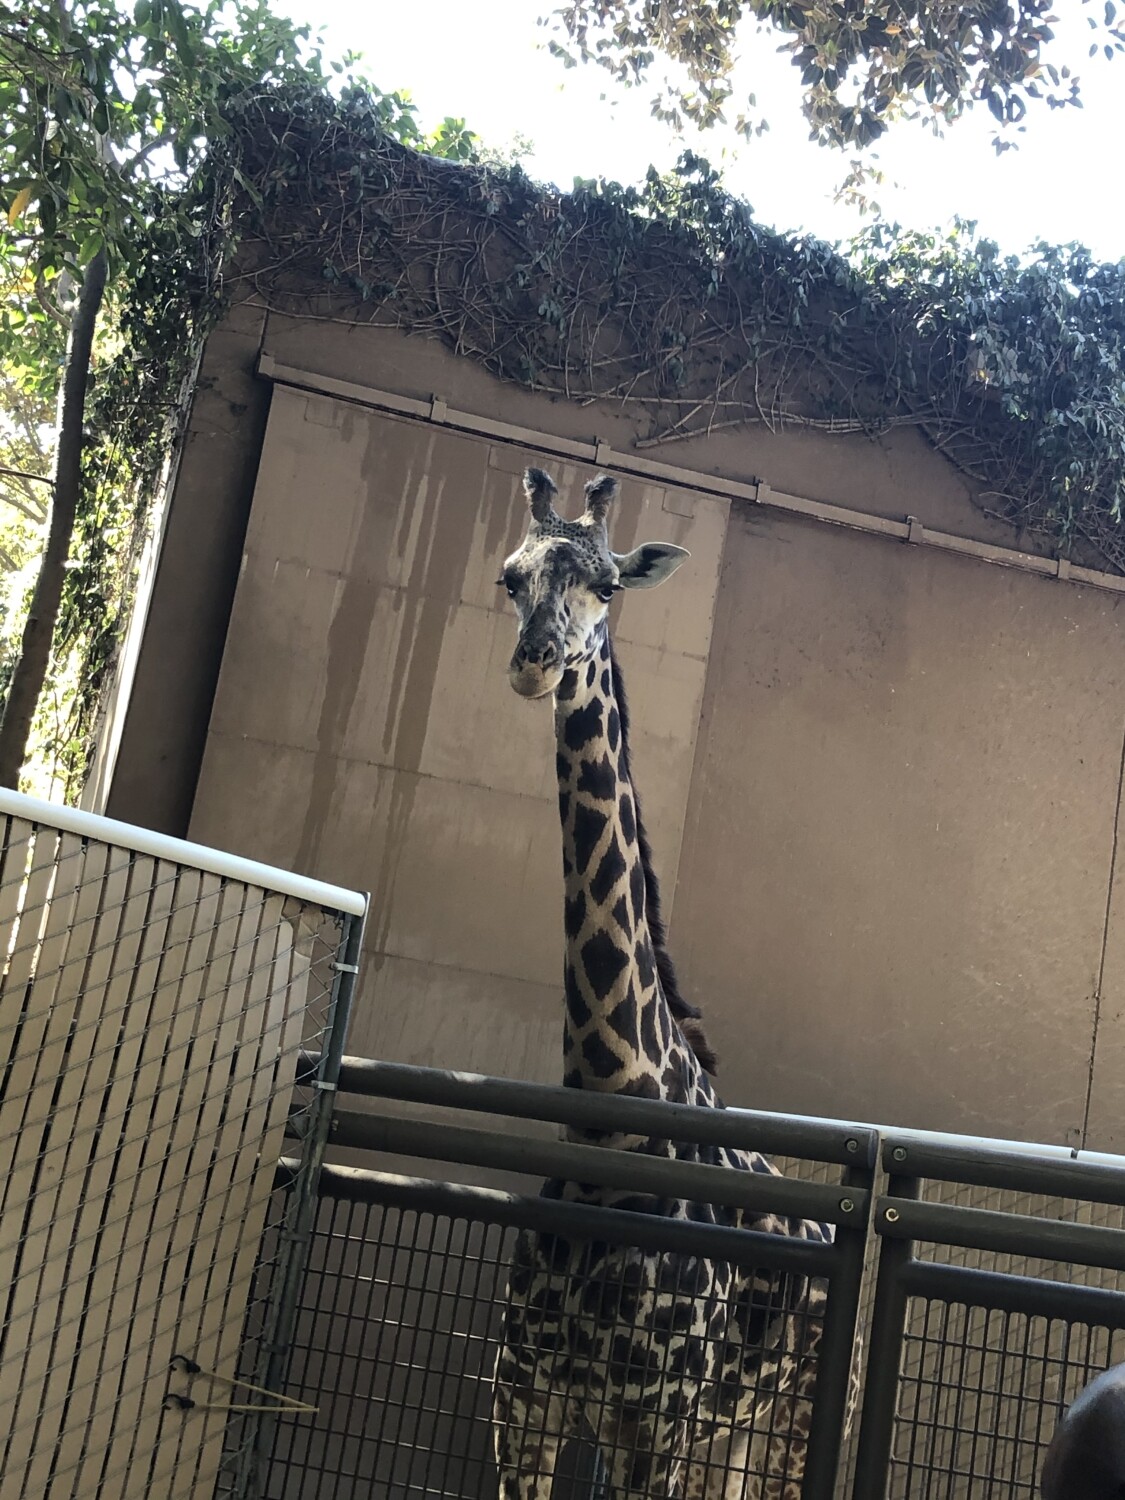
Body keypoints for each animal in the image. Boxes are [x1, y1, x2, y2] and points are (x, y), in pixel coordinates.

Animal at [490, 466, 838, 1499]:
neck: (612, 1110)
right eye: (510, 577)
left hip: (797, 1414)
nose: (536, 662)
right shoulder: (525, 1401)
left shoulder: (660, 1418)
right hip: (732, 1434)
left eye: (605, 585)